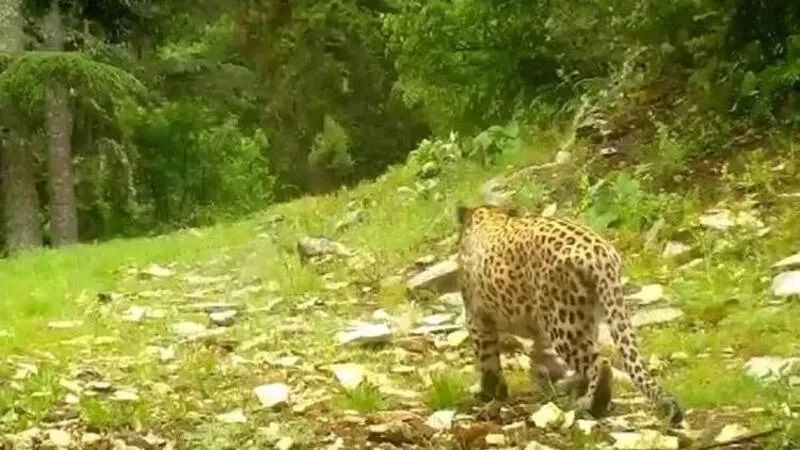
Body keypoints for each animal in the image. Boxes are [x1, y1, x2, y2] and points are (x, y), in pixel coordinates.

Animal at [456, 203, 680, 426]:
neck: (488, 217)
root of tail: (601, 254)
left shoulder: (477, 321)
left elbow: (489, 366)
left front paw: (491, 402)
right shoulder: (538, 331)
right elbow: (538, 360)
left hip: (564, 324)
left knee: (600, 363)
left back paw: (590, 405)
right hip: (584, 320)